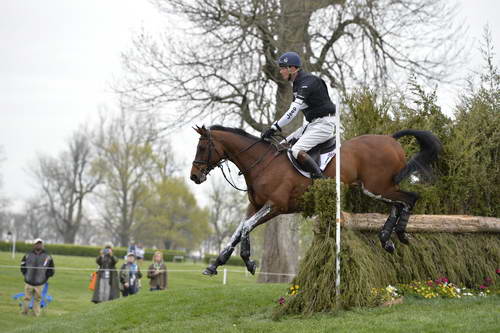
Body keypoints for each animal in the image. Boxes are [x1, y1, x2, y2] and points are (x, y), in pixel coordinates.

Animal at [189, 124, 440, 274]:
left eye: (202, 147)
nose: (194, 176)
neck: (262, 163)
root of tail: (390, 139)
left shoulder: (275, 206)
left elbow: (245, 227)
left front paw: (247, 260)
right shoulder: (257, 206)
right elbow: (240, 229)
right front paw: (217, 263)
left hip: (377, 187)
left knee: (410, 199)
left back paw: (400, 234)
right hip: (377, 188)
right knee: (398, 204)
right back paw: (386, 238)